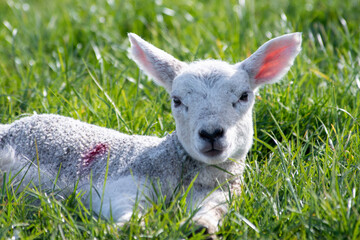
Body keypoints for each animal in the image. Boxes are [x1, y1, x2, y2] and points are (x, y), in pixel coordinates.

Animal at [0, 32, 300, 235]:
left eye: (244, 96)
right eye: (176, 100)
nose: (211, 133)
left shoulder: (221, 191)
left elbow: (212, 210)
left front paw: (201, 227)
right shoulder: (124, 181)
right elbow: (125, 207)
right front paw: (128, 227)